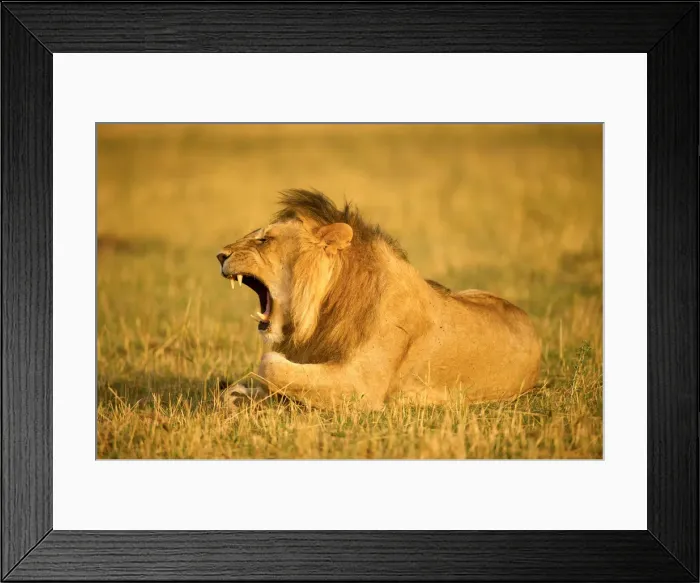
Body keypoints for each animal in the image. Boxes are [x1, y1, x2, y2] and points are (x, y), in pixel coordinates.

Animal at [216, 189, 541, 410]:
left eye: (264, 240)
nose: (220, 255)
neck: (326, 308)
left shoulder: (362, 386)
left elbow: (270, 364)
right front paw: (240, 395)